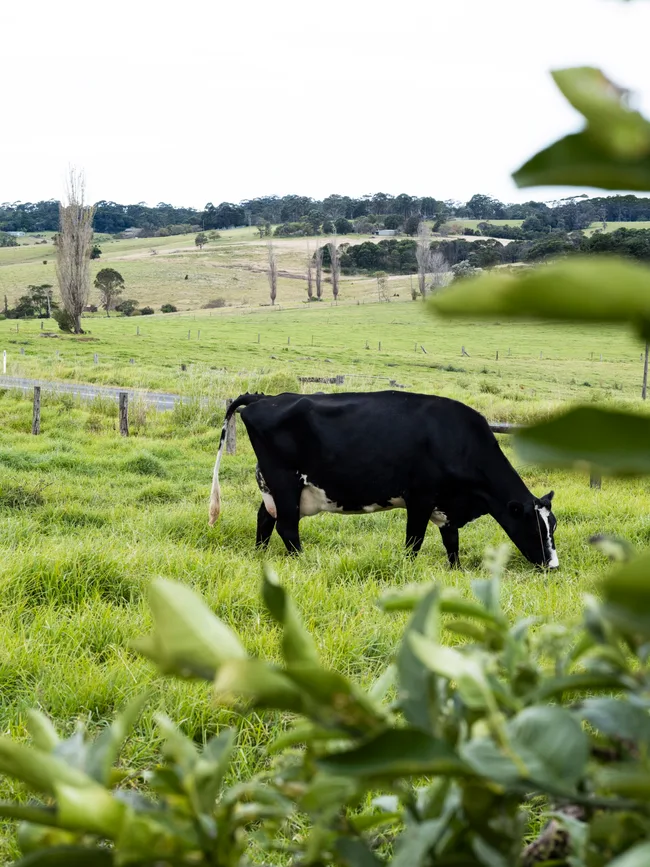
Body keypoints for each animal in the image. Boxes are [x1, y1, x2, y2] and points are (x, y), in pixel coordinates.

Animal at [208, 391, 558, 569]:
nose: (552, 565)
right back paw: (302, 562)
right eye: (535, 527)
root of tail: (264, 397)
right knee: (286, 526)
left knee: (265, 518)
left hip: (272, 485)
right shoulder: (420, 497)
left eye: (552, 525)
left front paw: (455, 571)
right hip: (285, 482)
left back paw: (260, 555)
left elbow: (452, 543)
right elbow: (414, 541)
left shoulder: (445, 505)